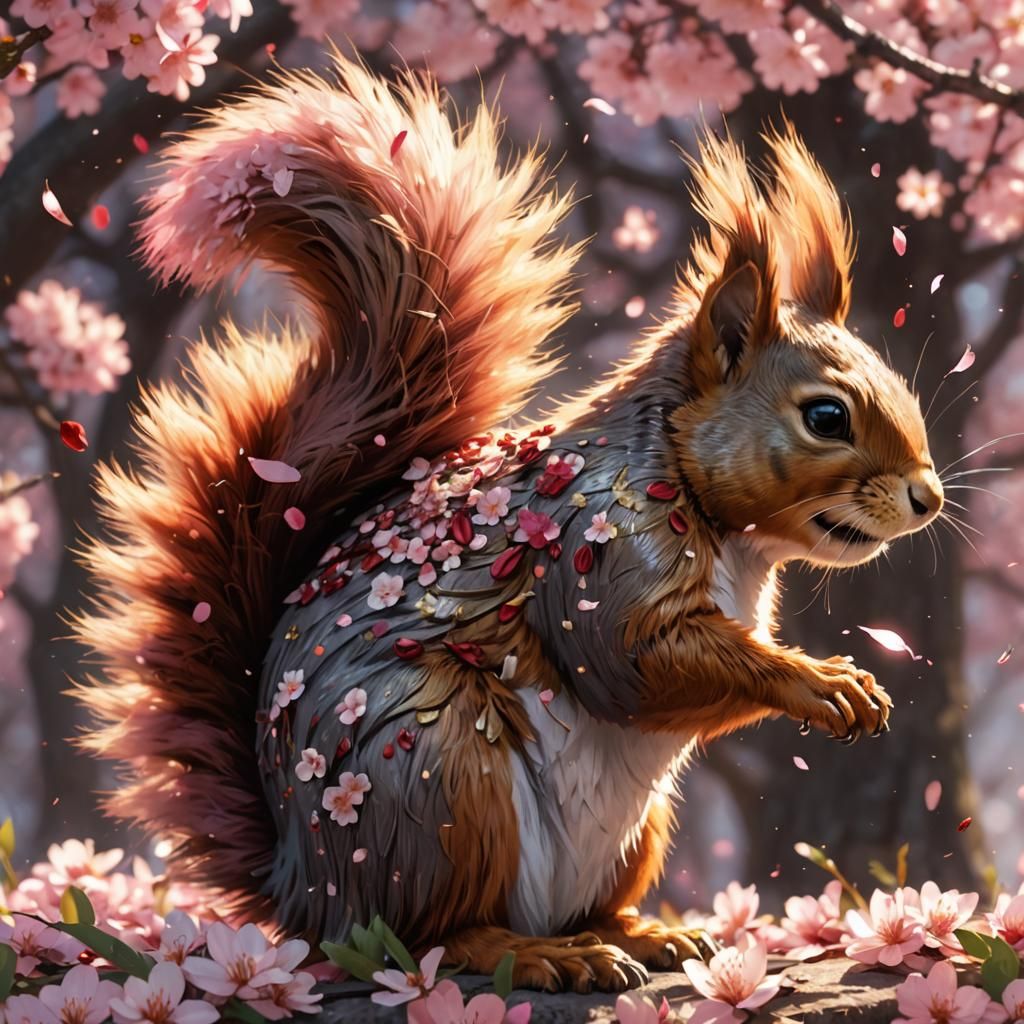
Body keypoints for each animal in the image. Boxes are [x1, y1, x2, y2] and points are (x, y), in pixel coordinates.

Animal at [73, 55, 944, 993]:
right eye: (826, 417)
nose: (929, 496)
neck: (721, 525)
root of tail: (301, 890)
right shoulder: (596, 548)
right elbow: (635, 661)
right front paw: (823, 682)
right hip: (433, 774)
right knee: (427, 936)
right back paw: (541, 956)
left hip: (630, 831)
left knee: (563, 908)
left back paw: (640, 936)